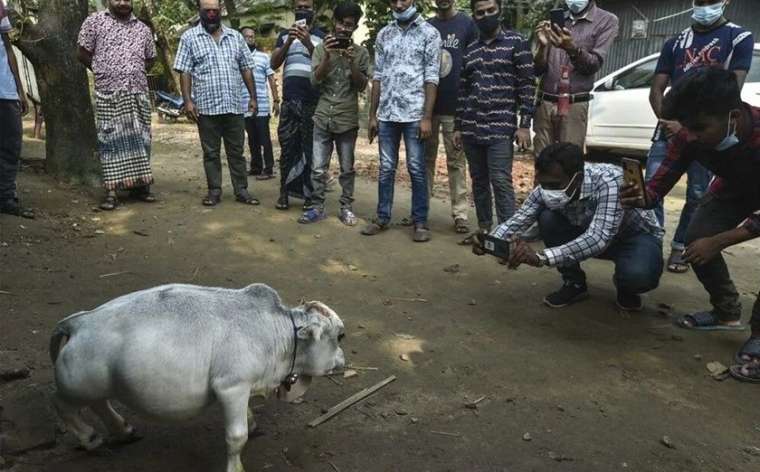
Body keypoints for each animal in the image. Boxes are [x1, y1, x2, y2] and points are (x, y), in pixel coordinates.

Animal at [48, 284, 344, 472]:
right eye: (340, 336)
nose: (343, 362)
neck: (276, 332)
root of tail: (77, 322)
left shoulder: (241, 388)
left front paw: (252, 420)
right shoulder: (231, 386)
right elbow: (236, 436)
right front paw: (235, 466)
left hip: (99, 385)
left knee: (100, 404)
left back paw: (122, 430)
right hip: (76, 388)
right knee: (61, 405)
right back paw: (89, 437)